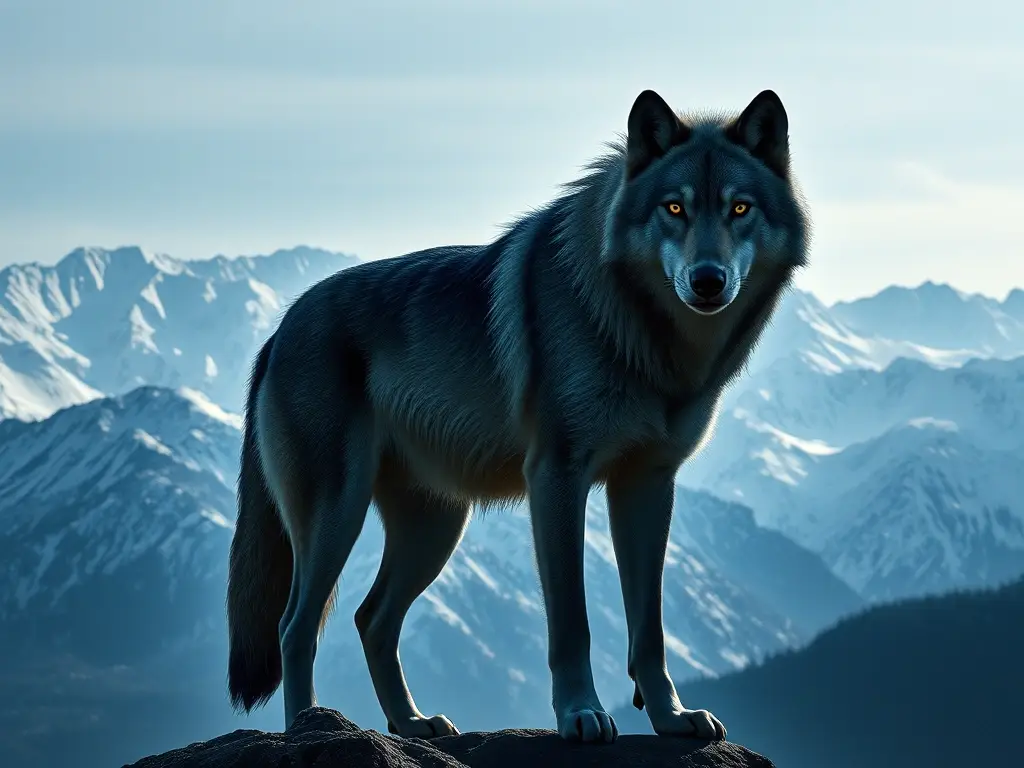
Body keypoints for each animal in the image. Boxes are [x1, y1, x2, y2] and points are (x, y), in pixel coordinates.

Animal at [226, 87, 810, 744]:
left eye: (739, 208)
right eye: (674, 208)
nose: (708, 281)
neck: (645, 340)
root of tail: (277, 331)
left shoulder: (647, 485)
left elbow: (650, 631)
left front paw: (671, 719)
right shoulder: (556, 476)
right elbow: (572, 623)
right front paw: (581, 715)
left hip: (434, 528)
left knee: (370, 619)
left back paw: (413, 723)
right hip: (338, 515)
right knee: (295, 627)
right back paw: (310, 728)